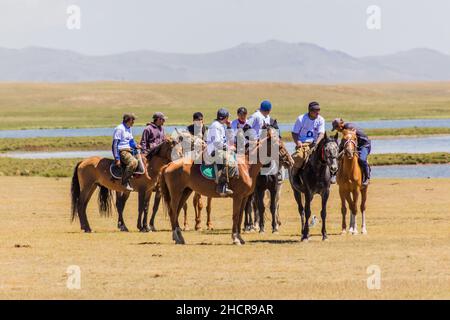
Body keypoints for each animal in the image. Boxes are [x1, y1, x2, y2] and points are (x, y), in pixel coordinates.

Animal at [160, 127, 294, 245]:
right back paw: (177, 237)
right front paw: (235, 239)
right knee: (173, 212)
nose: (291, 161)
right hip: (176, 193)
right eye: (279, 146)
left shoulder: (244, 198)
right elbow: (235, 216)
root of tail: (169, 165)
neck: (246, 166)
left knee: (176, 212)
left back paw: (179, 237)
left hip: (185, 192)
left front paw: (240, 238)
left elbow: (240, 216)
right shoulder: (238, 197)